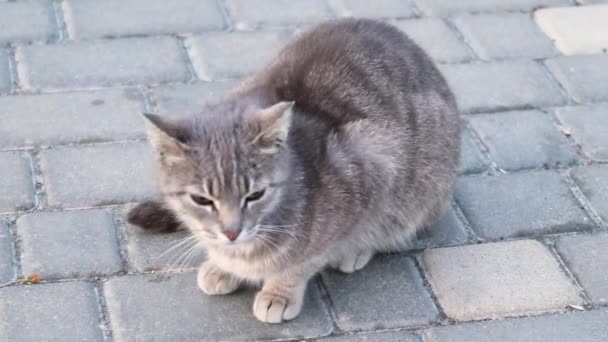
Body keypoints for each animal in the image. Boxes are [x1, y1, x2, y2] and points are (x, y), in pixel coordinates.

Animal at [131, 18, 458, 324]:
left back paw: (357, 250)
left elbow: (304, 260)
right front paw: (221, 266)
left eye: (255, 195)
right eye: (202, 200)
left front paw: (279, 292)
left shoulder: (371, 169)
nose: (232, 232)